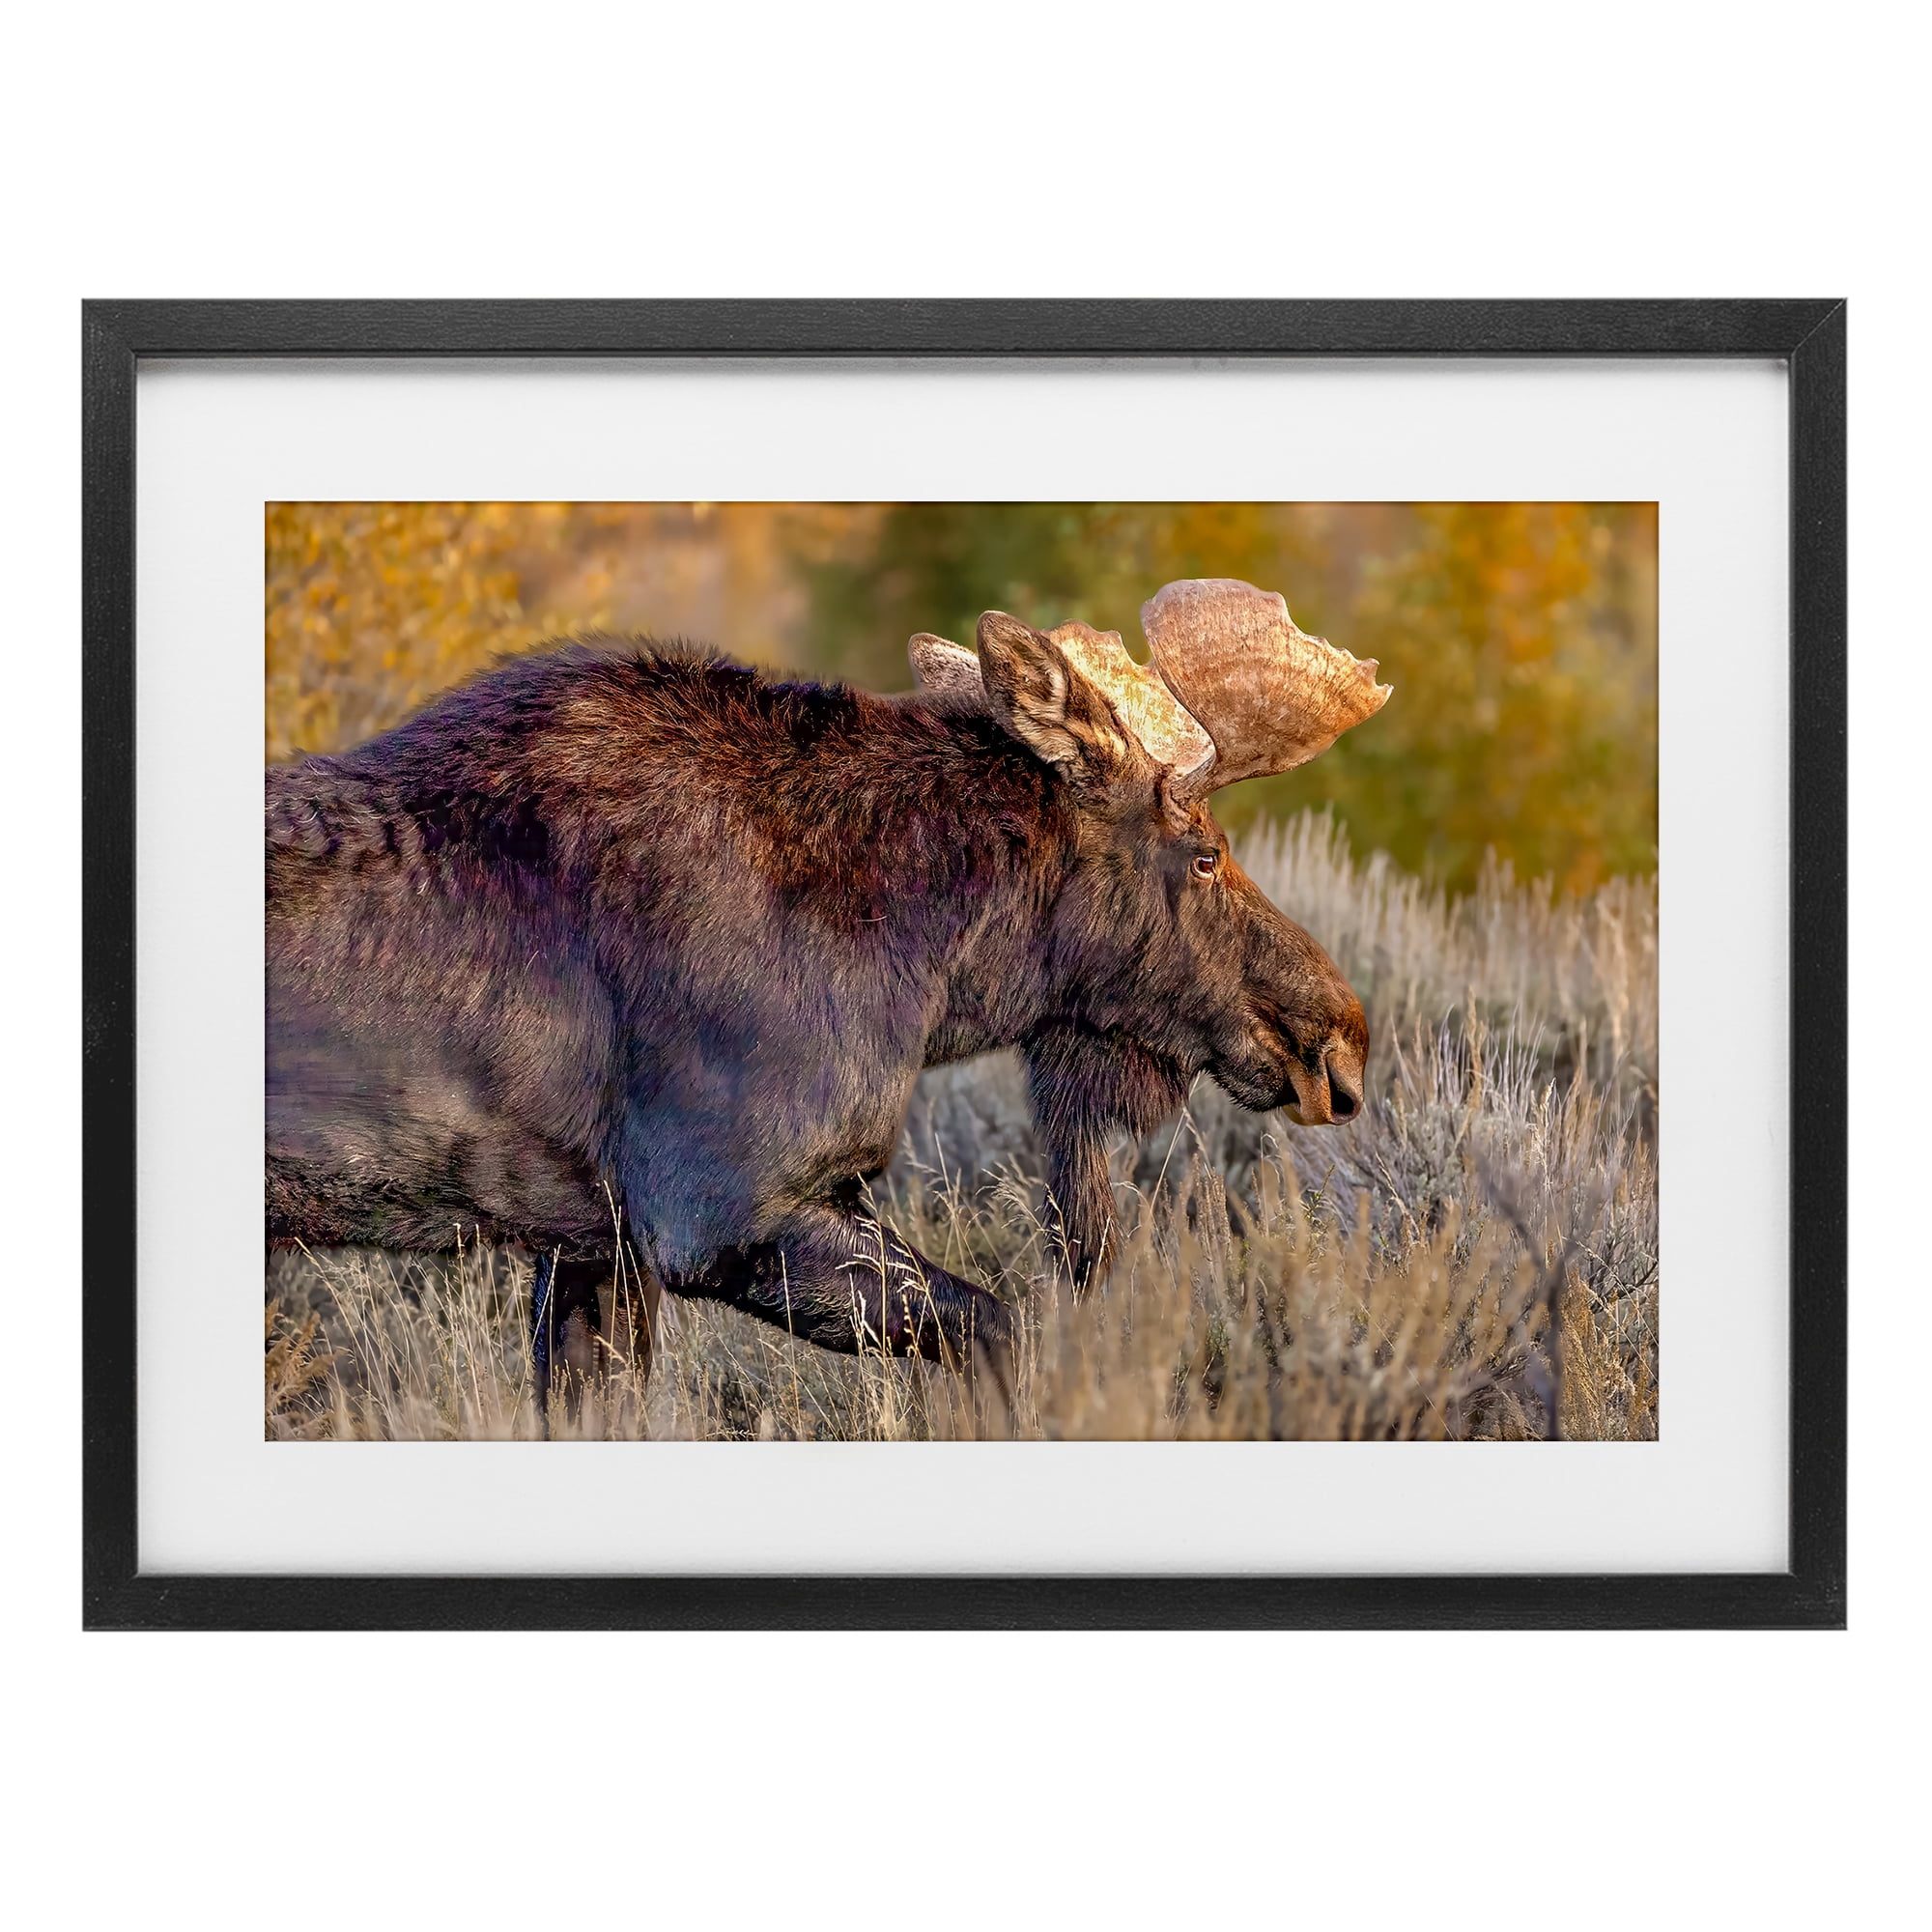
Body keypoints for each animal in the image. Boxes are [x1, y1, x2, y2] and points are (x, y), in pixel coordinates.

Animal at [265, 577, 1390, 1394]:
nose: (1337, 1037)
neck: (933, 969)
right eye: (1203, 853)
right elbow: (1006, 1332)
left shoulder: (591, 1243)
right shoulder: (723, 1211)